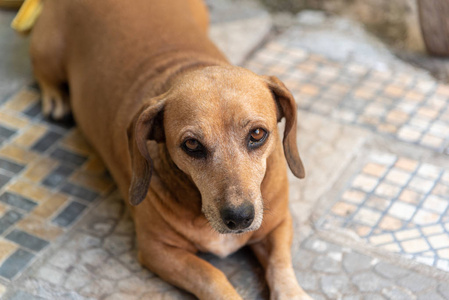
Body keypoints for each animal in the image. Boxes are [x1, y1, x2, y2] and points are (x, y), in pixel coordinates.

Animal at [29, 1, 310, 298]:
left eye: (257, 134)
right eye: (192, 145)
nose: (239, 218)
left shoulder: (278, 225)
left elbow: (280, 266)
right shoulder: (158, 250)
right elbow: (212, 276)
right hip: (48, 52)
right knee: (43, 75)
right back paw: (55, 100)